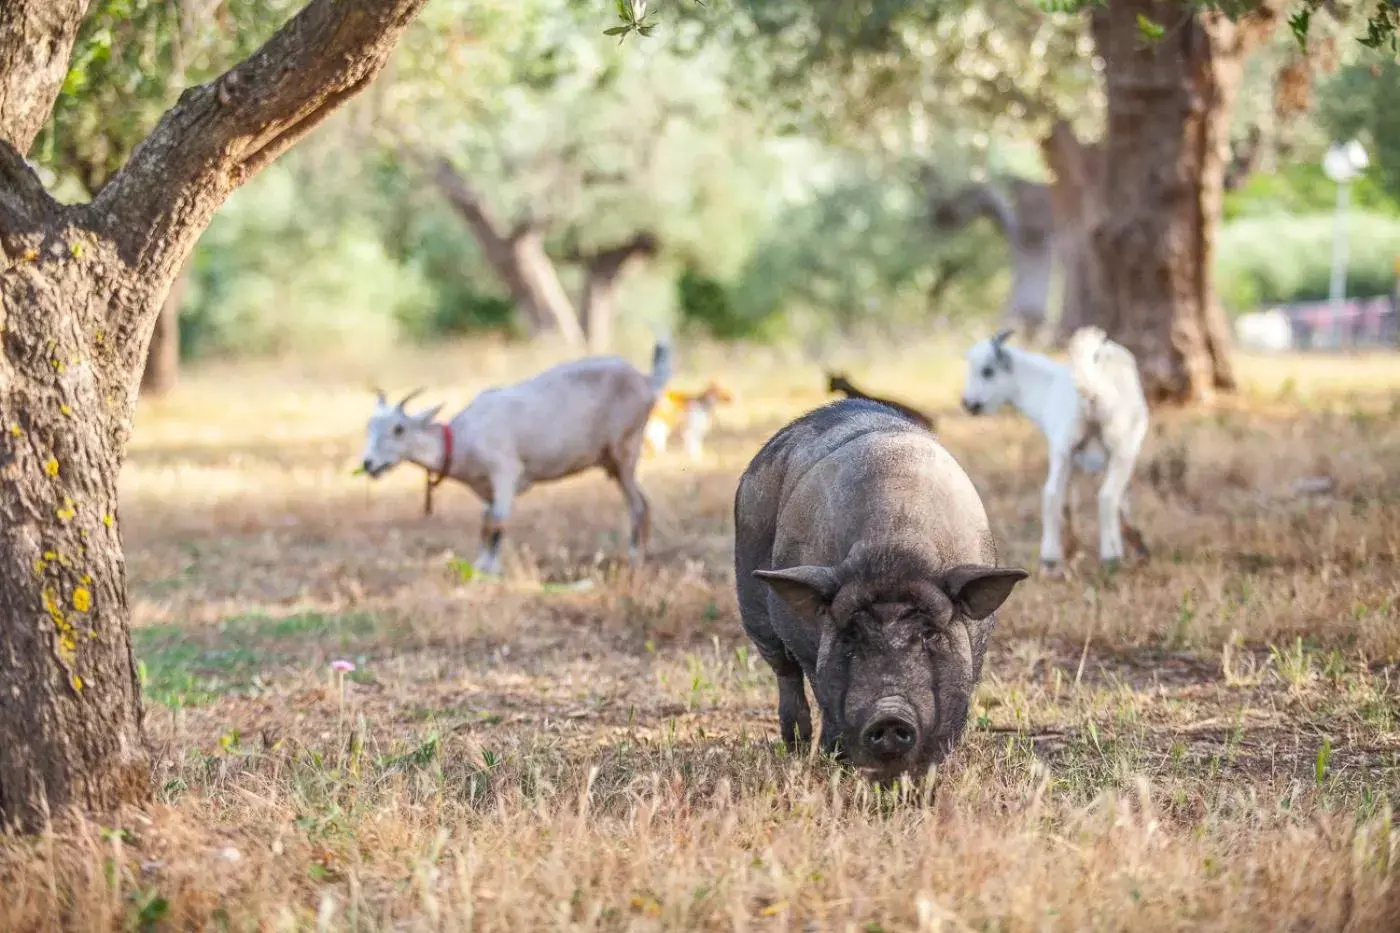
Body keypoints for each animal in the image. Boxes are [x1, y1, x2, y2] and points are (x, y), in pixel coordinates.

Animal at [358, 340, 669, 574]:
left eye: (399, 429)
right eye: (369, 426)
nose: (368, 464)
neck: (462, 439)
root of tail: (647, 381)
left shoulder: (504, 471)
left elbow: (498, 521)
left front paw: (491, 572)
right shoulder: (486, 487)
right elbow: (486, 521)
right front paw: (480, 566)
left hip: (625, 448)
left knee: (638, 504)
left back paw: (635, 559)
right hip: (613, 461)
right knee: (643, 501)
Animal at [963, 326, 1148, 574]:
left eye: (987, 371)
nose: (968, 404)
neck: (1045, 388)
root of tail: (1093, 390)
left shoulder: (1074, 457)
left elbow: (1073, 501)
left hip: (1070, 447)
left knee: (1054, 494)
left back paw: (1052, 560)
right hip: (1115, 446)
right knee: (1104, 495)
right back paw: (1109, 556)